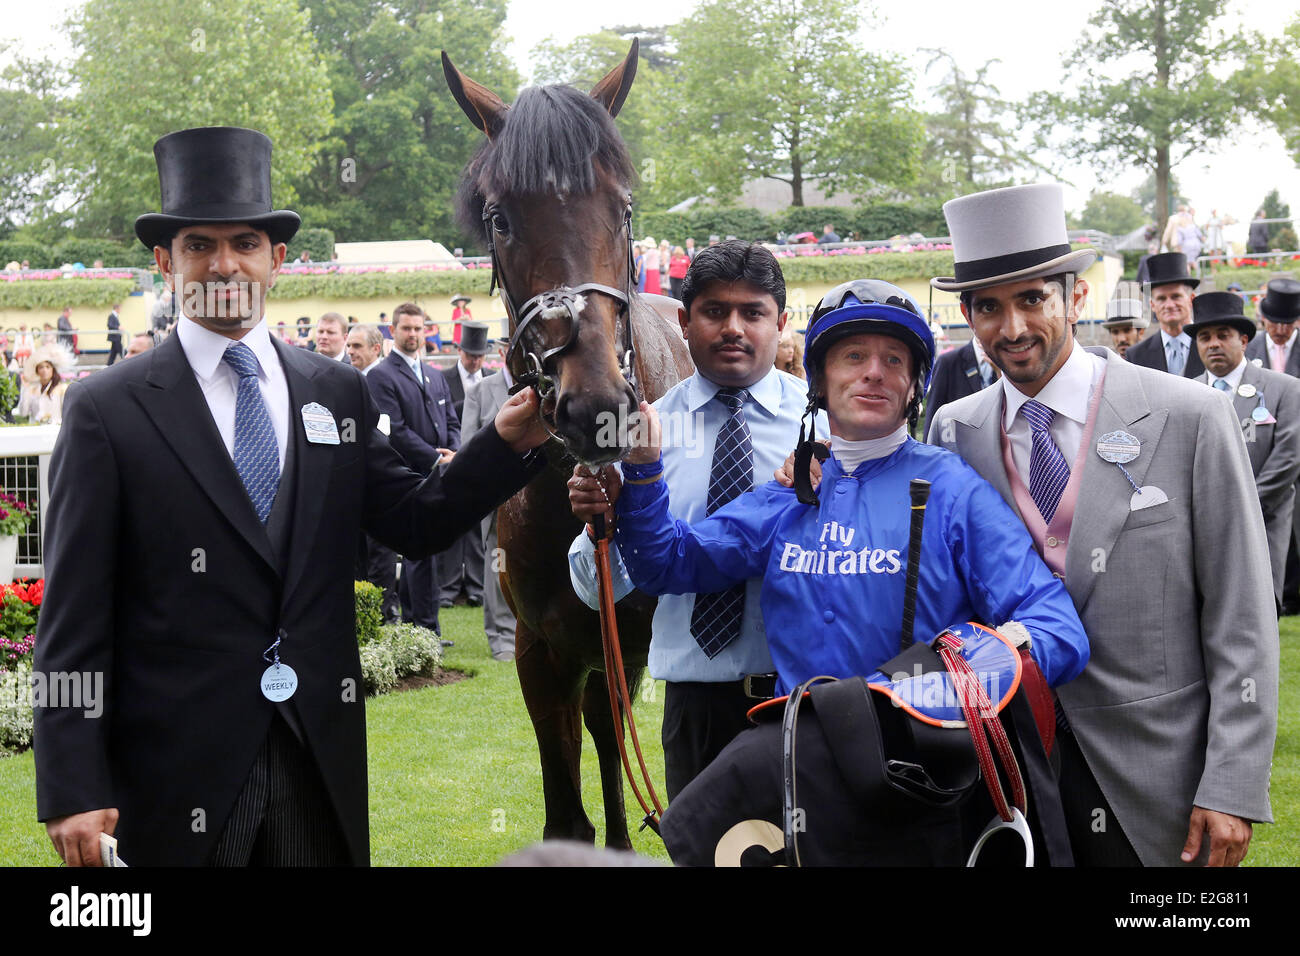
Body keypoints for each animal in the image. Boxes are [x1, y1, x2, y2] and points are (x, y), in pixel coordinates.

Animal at [444, 41, 696, 848]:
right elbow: (566, 810)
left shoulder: (643, 641)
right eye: (499, 218)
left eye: (624, 209)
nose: (595, 407)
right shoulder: (542, 651)